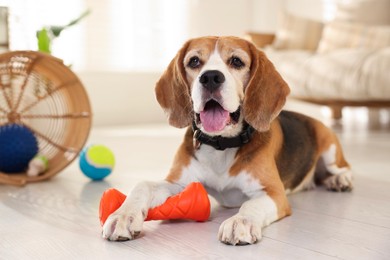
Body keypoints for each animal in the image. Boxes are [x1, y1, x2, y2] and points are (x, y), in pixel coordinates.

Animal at [102, 36, 352, 246]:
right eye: (194, 61)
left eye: (236, 61)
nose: (211, 77)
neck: (220, 145)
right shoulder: (178, 183)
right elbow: (142, 185)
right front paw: (123, 215)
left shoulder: (274, 193)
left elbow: (250, 204)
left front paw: (240, 222)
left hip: (329, 147)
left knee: (343, 168)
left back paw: (339, 180)